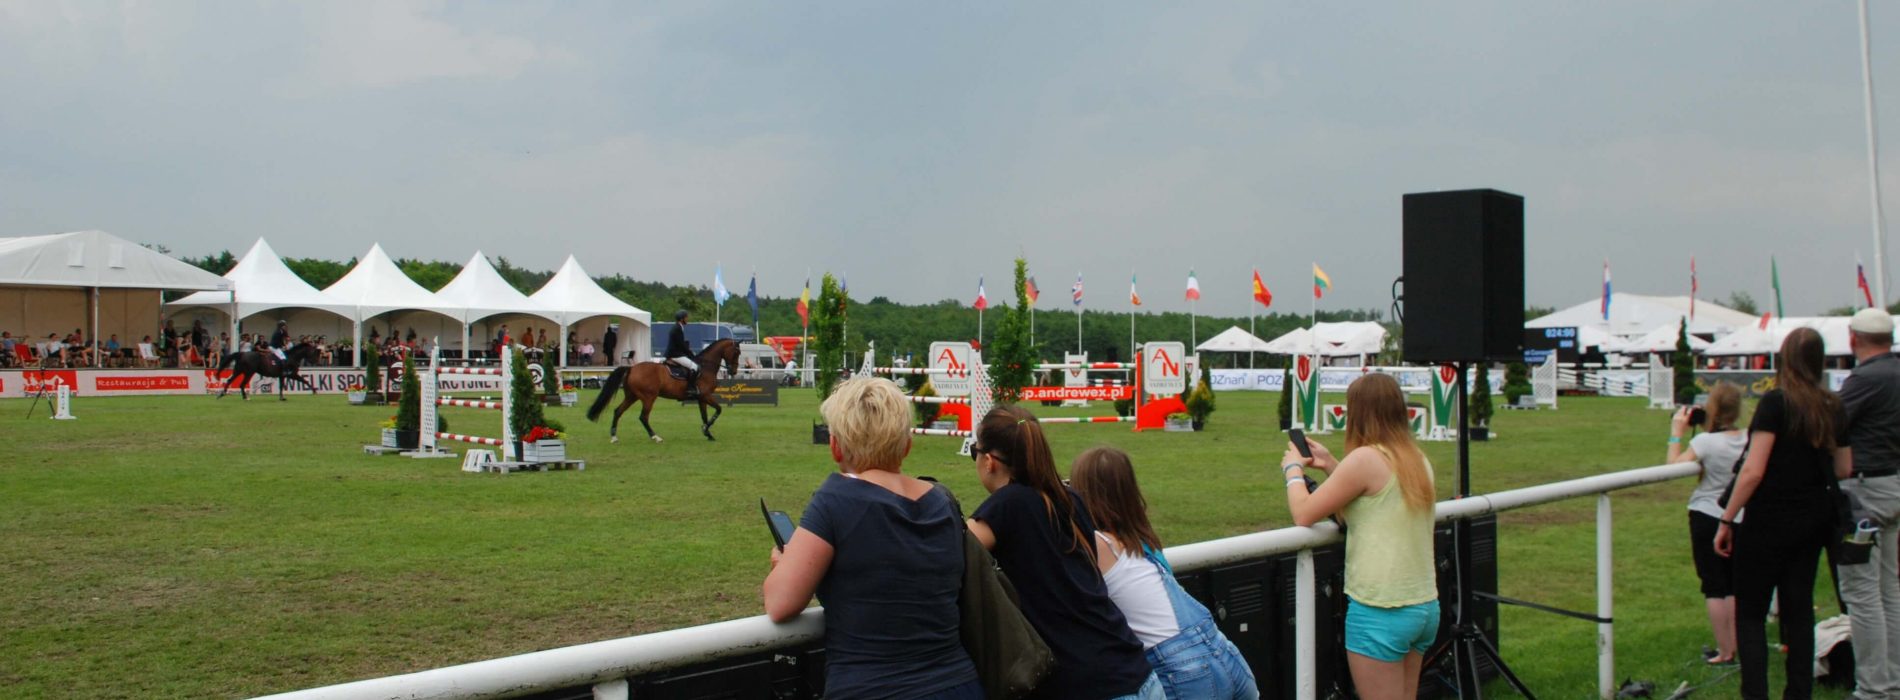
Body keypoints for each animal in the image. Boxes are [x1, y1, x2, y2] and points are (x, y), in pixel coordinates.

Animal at [585, 338, 741, 443]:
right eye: (736, 352)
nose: (733, 371)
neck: (706, 366)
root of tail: (632, 368)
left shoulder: (701, 398)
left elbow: (704, 416)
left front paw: (708, 433)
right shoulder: (706, 395)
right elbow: (718, 410)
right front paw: (705, 430)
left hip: (632, 396)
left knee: (618, 411)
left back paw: (614, 437)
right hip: (649, 397)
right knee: (643, 417)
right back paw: (655, 437)